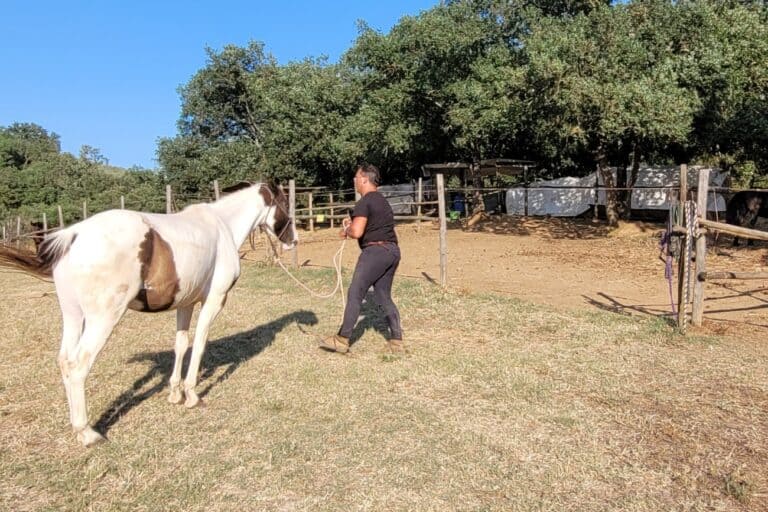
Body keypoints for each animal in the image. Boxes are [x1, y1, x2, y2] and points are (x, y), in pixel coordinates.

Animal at [0, 182, 296, 446]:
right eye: (285, 203)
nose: (293, 240)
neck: (222, 227)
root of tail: (74, 234)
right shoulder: (213, 301)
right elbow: (200, 344)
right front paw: (192, 395)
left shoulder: (186, 303)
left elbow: (181, 344)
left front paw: (175, 393)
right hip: (102, 320)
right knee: (78, 365)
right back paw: (87, 433)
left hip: (72, 315)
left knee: (64, 361)